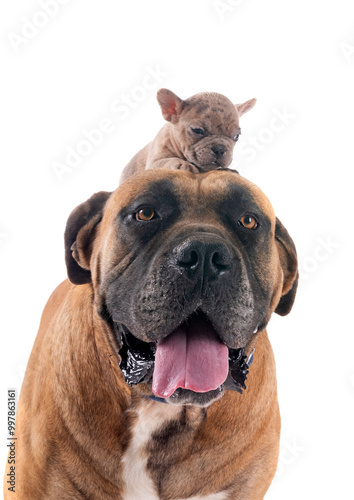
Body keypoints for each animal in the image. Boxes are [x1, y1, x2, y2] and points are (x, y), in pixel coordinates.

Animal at [120, 89, 256, 183]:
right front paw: (183, 165)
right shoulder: (154, 163)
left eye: (236, 136)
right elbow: (167, 161)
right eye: (197, 130)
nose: (220, 149)